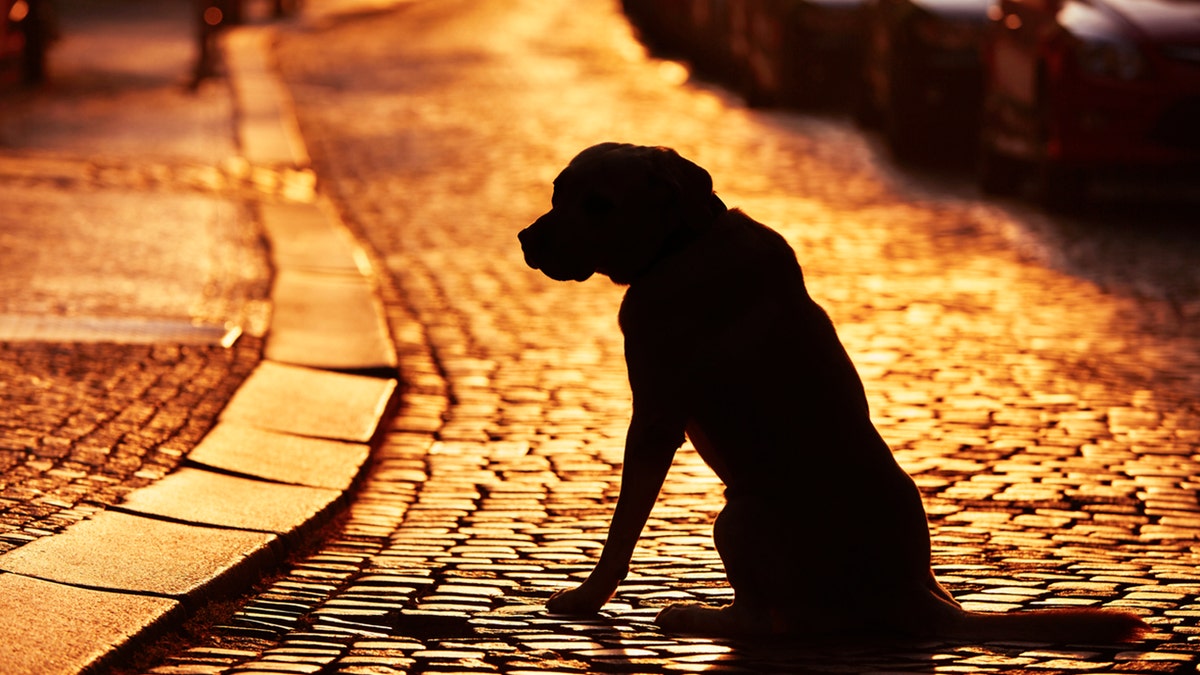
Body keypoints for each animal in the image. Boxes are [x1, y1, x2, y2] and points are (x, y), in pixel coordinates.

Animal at [518, 141, 1152, 638]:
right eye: (557, 191)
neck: (682, 243)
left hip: (739, 514)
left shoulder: (653, 420)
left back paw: (695, 616)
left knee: (765, 621)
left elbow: (621, 528)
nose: (526, 239)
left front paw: (586, 598)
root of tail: (920, 598)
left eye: (599, 205)